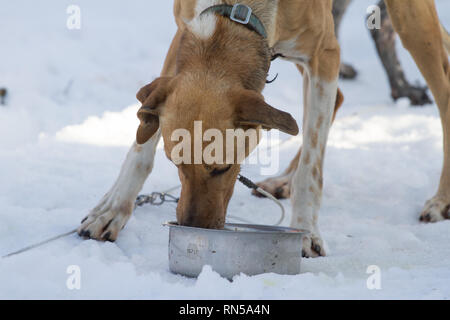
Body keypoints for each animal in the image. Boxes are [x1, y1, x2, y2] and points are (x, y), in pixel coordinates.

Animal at [78, 0, 450, 258]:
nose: (193, 229)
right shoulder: (182, 37)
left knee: (442, 93)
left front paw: (305, 229)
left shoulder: (325, 53)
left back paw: (441, 199)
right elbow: (143, 144)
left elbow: (313, 164)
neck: (239, 10)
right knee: (337, 100)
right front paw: (112, 208)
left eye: (223, 168)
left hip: (408, 20)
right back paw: (284, 179)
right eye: (176, 164)